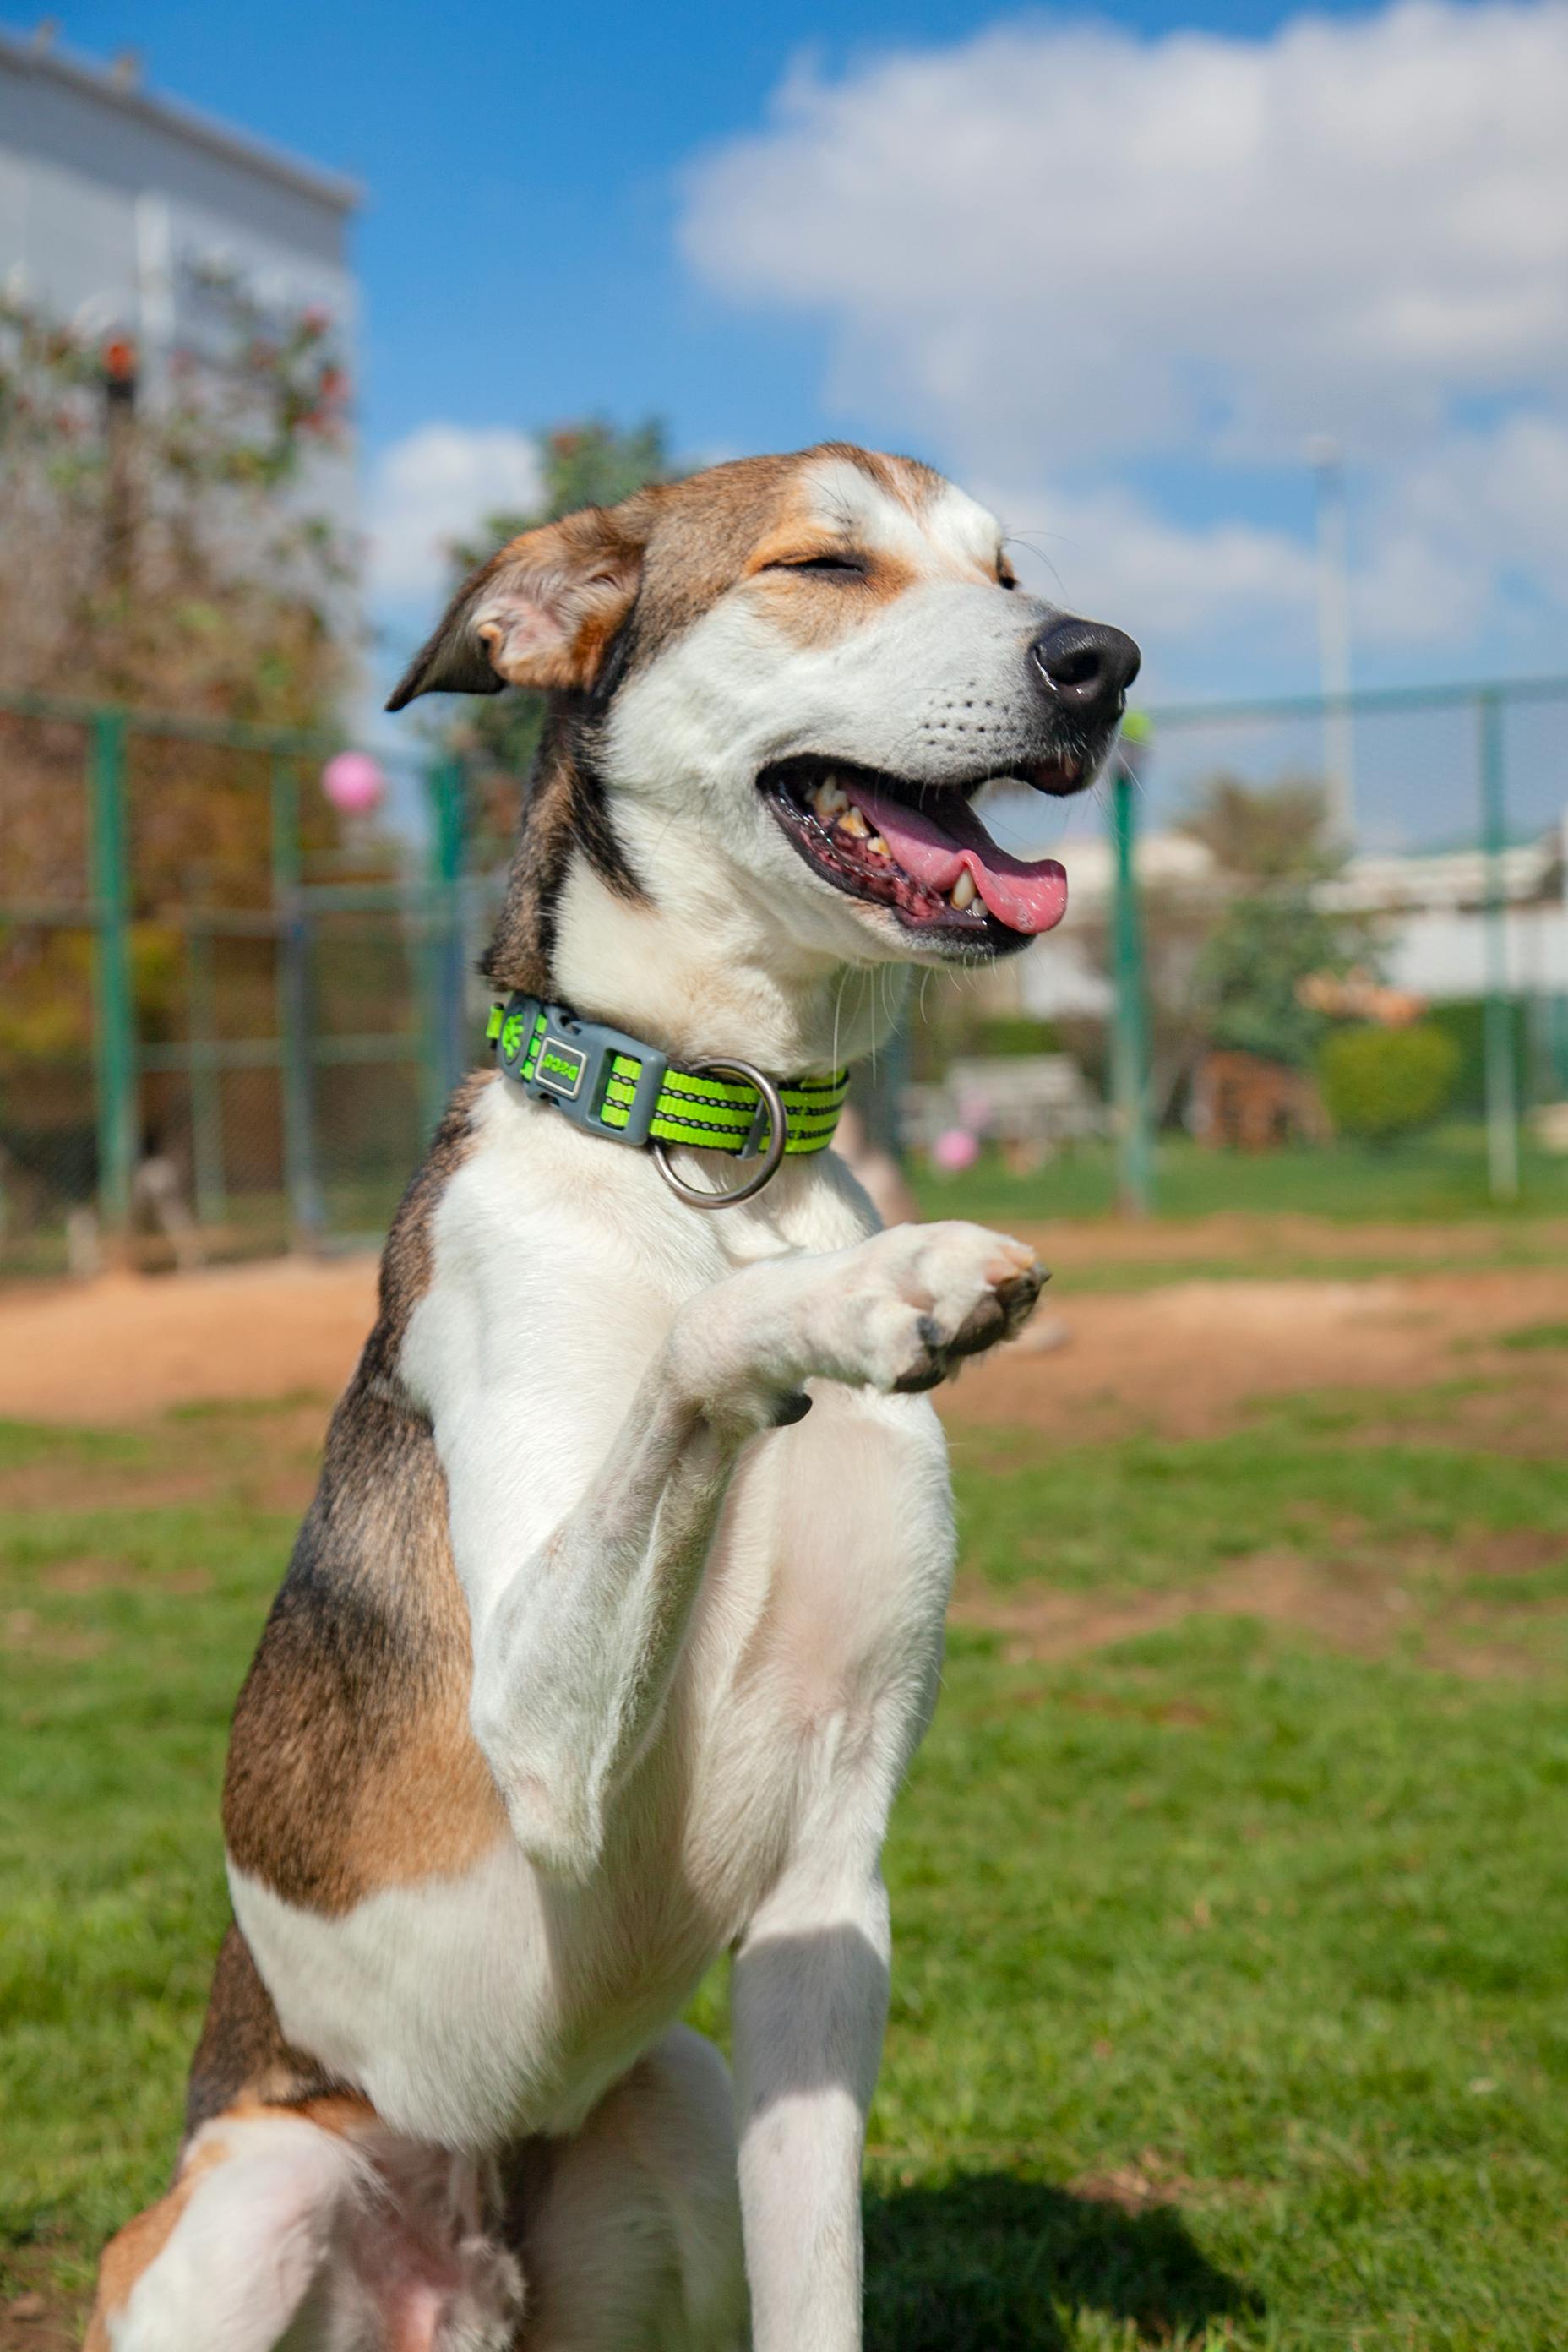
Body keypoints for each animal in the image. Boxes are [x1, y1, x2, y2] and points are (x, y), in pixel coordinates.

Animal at [85, 444, 1133, 2352]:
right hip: (260, 2193)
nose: (1104, 659)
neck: (706, 1148)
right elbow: (691, 1345)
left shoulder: (824, 1905)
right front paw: (880, 1290)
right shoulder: (534, 1720)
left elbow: (822, 2292)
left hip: (686, 2103)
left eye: (1009, 573)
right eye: (822, 565)